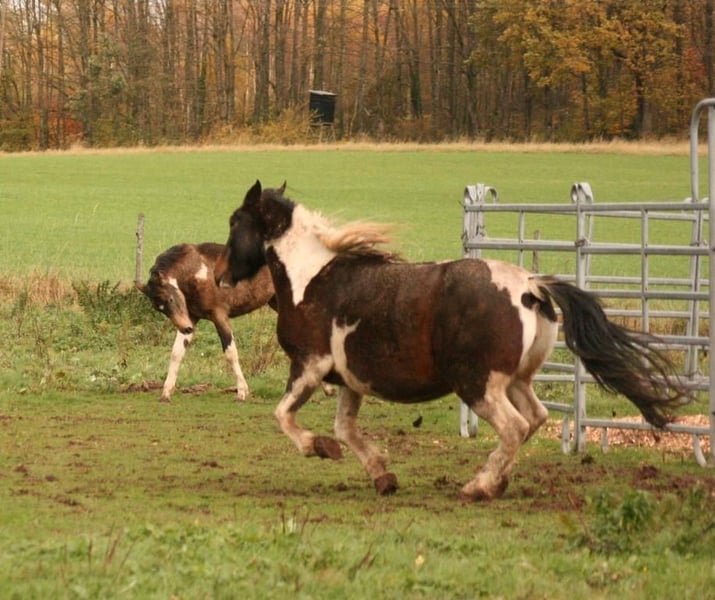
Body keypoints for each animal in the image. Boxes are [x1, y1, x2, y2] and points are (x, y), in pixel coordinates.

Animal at [136, 242, 274, 402]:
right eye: (158, 308)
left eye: (170, 299)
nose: (185, 328)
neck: (197, 272)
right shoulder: (192, 318)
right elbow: (176, 353)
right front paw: (165, 394)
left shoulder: (219, 316)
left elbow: (230, 353)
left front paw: (241, 393)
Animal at [214, 180, 689, 501]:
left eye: (235, 222)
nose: (219, 276)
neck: (311, 279)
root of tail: (531, 286)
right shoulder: (350, 381)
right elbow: (345, 429)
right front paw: (382, 475)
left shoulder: (309, 367)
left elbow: (283, 415)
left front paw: (319, 449)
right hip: (515, 381)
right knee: (535, 419)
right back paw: (496, 480)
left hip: (478, 385)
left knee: (515, 427)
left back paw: (479, 486)